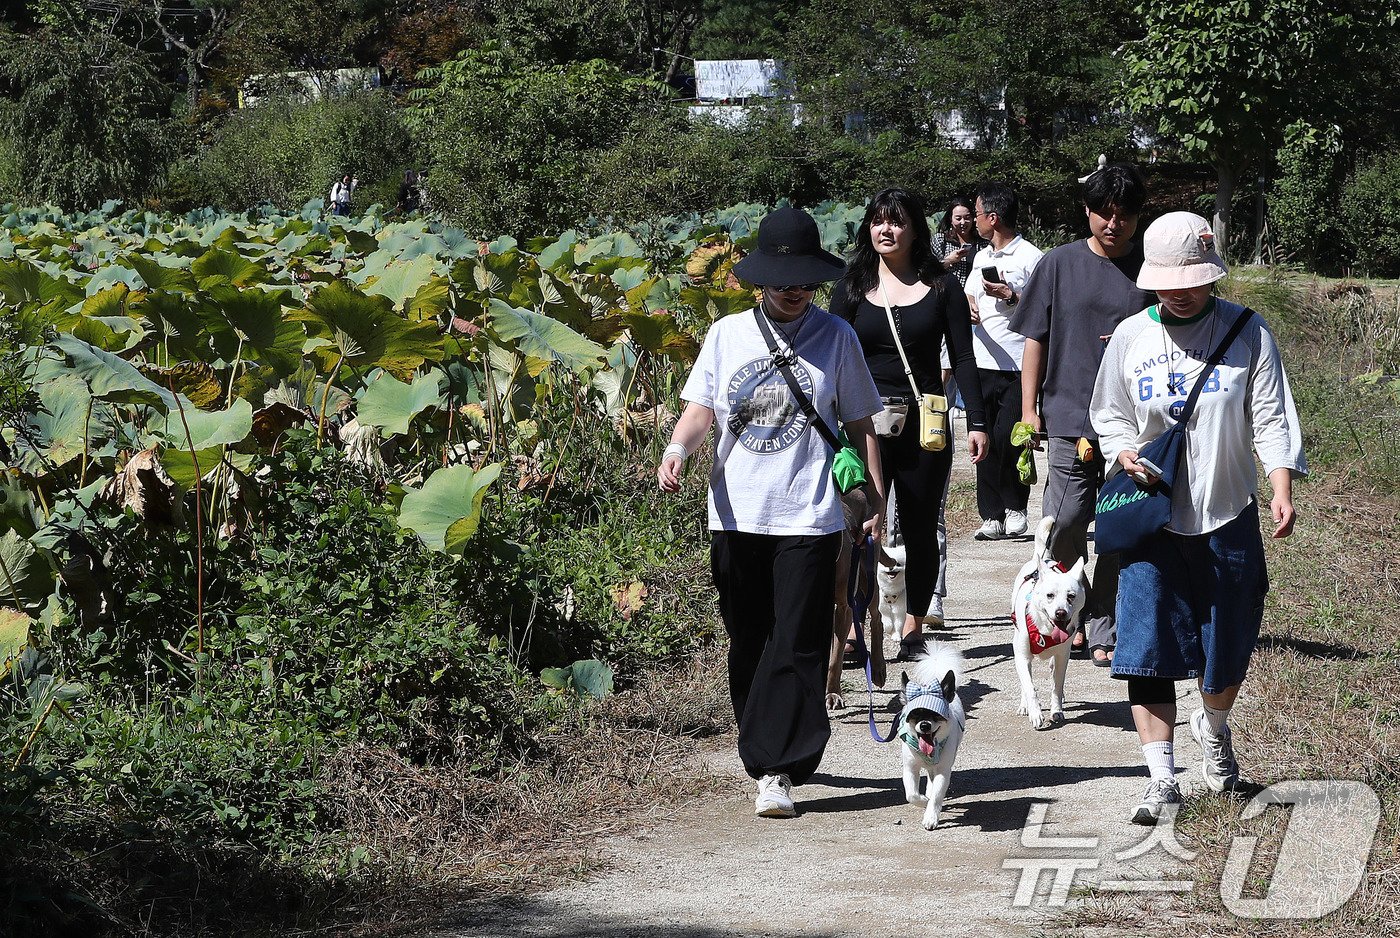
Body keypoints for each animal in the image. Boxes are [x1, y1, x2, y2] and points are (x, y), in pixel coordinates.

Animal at [896, 646, 963, 828]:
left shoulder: (943, 771)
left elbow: (936, 796)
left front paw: (931, 816)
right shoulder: (910, 768)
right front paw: (923, 801)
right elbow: (911, 795)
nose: (925, 725)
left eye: (935, 715)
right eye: (914, 715)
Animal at [1013, 518, 1086, 733]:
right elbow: (1030, 687)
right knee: (1026, 681)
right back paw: (1024, 706)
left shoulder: (1062, 656)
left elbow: (1057, 685)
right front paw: (1035, 714)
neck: (1045, 629)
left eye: (1071, 596)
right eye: (1050, 596)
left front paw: (1056, 711)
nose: (1061, 613)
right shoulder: (1022, 655)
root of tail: (1044, 559)